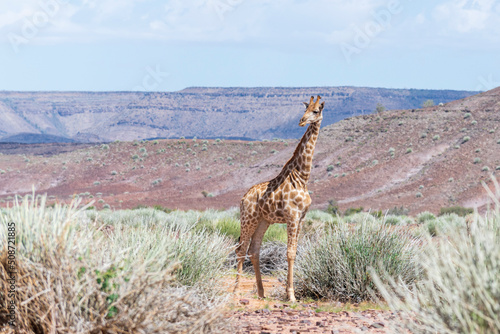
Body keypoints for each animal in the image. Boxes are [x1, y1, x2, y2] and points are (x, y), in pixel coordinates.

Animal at [234, 94, 324, 302]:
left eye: (316, 111)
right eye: (306, 108)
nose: (301, 121)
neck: (302, 177)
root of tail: (243, 198)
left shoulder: (301, 218)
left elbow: (295, 252)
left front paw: (290, 293)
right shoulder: (292, 216)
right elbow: (289, 253)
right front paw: (290, 295)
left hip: (263, 221)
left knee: (254, 250)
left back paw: (261, 293)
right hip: (248, 219)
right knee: (241, 250)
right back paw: (235, 291)